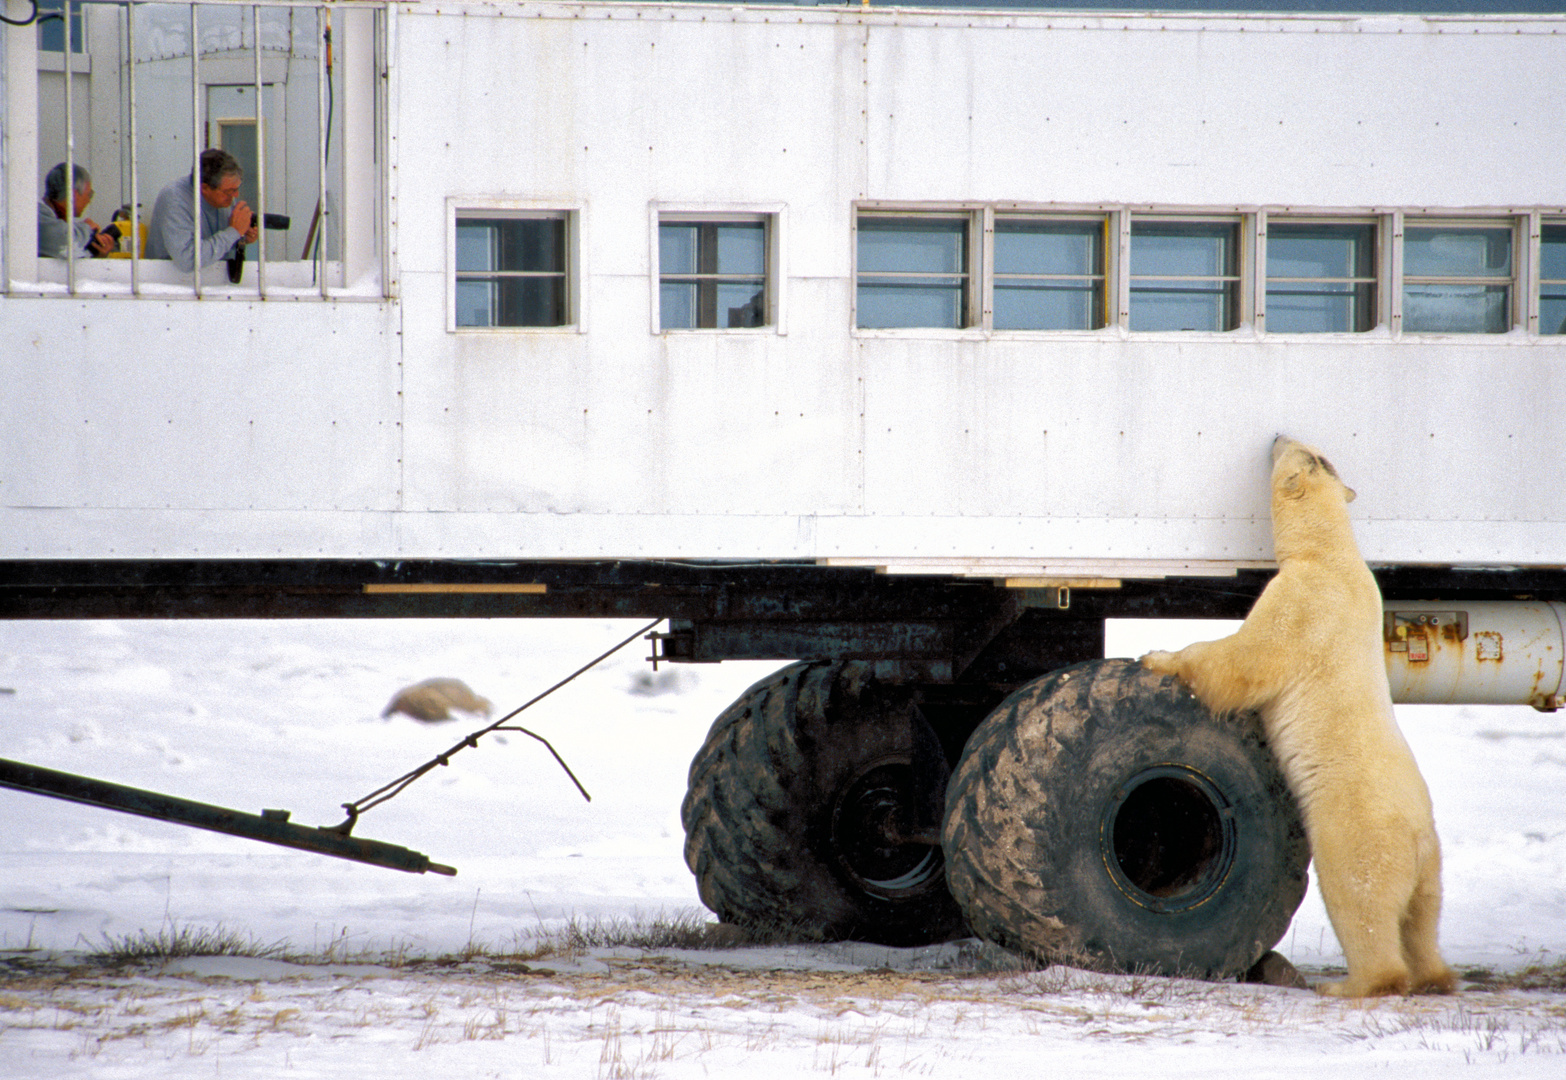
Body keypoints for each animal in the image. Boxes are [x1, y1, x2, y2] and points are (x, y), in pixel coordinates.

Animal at [1140, 432, 1453, 995]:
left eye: (1301, 450)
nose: (1276, 433)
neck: (1333, 554)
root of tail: (1418, 842)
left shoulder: (1303, 601)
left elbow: (1248, 658)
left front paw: (1159, 657)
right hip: (1432, 866)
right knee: (1423, 918)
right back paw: (1434, 976)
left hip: (1356, 834)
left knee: (1360, 903)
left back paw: (1354, 983)